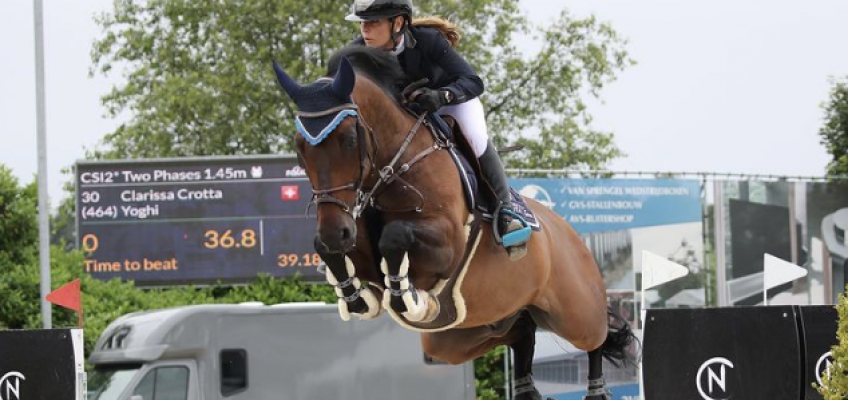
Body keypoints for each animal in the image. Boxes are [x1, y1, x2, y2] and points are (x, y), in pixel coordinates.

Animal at [274, 45, 636, 398]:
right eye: (299, 149)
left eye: (349, 140)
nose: (336, 232)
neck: (393, 168)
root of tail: (570, 232)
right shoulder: (359, 249)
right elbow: (333, 252)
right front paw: (357, 298)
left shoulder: (447, 246)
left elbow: (396, 235)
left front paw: (406, 297)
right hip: (468, 331)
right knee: (522, 332)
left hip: (574, 312)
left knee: (597, 339)